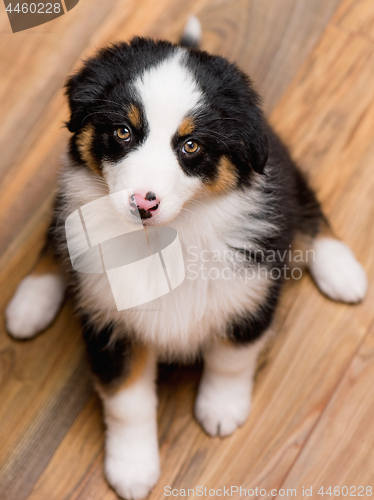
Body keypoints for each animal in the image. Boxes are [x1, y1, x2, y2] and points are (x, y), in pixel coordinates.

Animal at [5, 17, 368, 500]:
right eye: (123, 132)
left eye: (191, 145)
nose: (143, 202)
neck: (164, 240)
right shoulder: (110, 322)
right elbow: (127, 403)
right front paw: (133, 468)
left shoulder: (250, 288)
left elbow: (232, 357)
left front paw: (221, 408)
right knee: (54, 230)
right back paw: (31, 302)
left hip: (282, 169)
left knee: (306, 204)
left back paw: (341, 269)